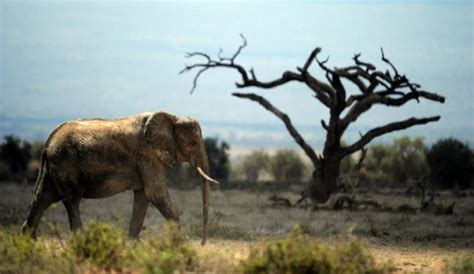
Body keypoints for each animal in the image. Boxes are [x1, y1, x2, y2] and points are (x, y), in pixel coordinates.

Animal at [21, 110, 218, 245]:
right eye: (193, 143)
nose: (202, 244)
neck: (173, 117)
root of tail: (48, 142)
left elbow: (143, 197)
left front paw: (132, 244)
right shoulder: (147, 155)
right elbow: (156, 194)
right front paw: (181, 244)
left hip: (54, 168)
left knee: (43, 197)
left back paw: (29, 241)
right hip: (66, 164)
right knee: (71, 200)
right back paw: (82, 241)